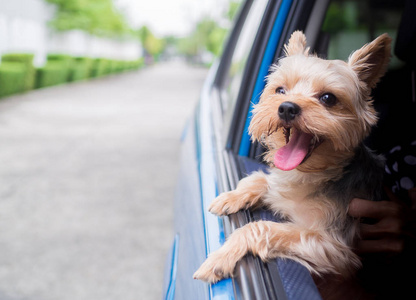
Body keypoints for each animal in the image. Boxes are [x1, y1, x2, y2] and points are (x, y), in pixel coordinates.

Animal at [193, 31, 392, 284]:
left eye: (328, 98)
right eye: (280, 91)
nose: (287, 107)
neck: (311, 175)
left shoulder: (331, 245)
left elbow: (259, 228)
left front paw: (220, 258)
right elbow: (260, 179)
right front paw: (231, 196)